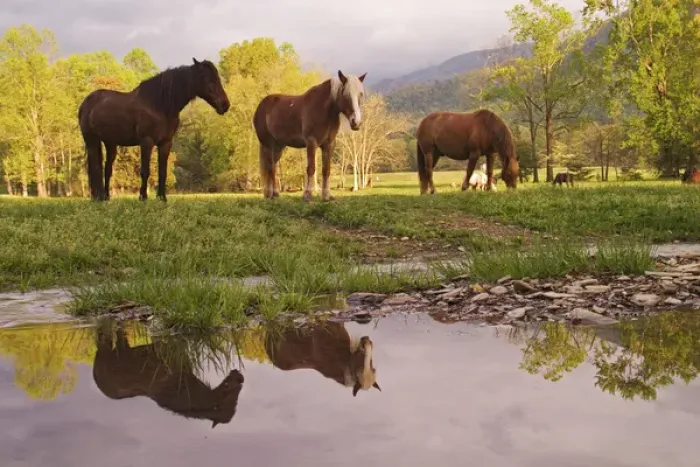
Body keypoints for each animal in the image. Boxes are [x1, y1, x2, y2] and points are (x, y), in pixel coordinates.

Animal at [79, 58, 230, 202]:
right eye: (204, 75)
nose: (225, 105)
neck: (159, 105)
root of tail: (86, 102)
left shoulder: (165, 143)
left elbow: (162, 172)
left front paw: (162, 197)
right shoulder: (147, 141)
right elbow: (145, 171)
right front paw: (143, 197)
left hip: (110, 143)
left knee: (107, 169)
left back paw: (106, 197)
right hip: (91, 140)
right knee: (96, 168)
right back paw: (98, 197)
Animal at [253, 70, 367, 201]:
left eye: (360, 94)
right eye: (346, 94)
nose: (356, 122)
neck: (323, 109)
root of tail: (261, 106)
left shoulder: (329, 144)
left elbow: (326, 170)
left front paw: (326, 196)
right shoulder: (311, 142)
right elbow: (311, 169)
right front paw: (308, 195)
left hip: (278, 147)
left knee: (273, 166)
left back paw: (274, 194)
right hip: (268, 144)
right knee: (270, 167)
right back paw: (271, 195)